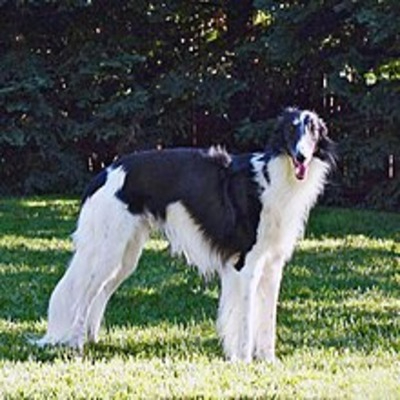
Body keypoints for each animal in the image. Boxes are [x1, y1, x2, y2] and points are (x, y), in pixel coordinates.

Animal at [34, 107, 336, 362]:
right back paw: (76, 345)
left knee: (99, 295)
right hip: (108, 252)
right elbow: (246, 321)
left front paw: (268, 361)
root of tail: (104, 173)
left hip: (125, 257)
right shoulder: (246, 265)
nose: (301, 156)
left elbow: (267, 322)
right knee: (83, 297)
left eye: (312, 131)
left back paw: (92, 339)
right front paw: (243, 361)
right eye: (291, 131)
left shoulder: (272, 265)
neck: (273, 178)